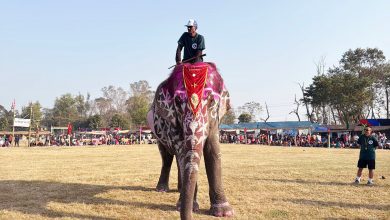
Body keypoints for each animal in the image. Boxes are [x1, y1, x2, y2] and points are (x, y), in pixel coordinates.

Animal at [147, 62, 233, 220]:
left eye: (211, 101)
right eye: (177, 101)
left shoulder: (214, 121)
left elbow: (213, 152)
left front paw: (224, 212)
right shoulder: (172, 121)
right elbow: (183, 152)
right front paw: (189, 207)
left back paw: (179, 188)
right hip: (156, 134)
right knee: (167, 157)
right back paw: (162, 189)